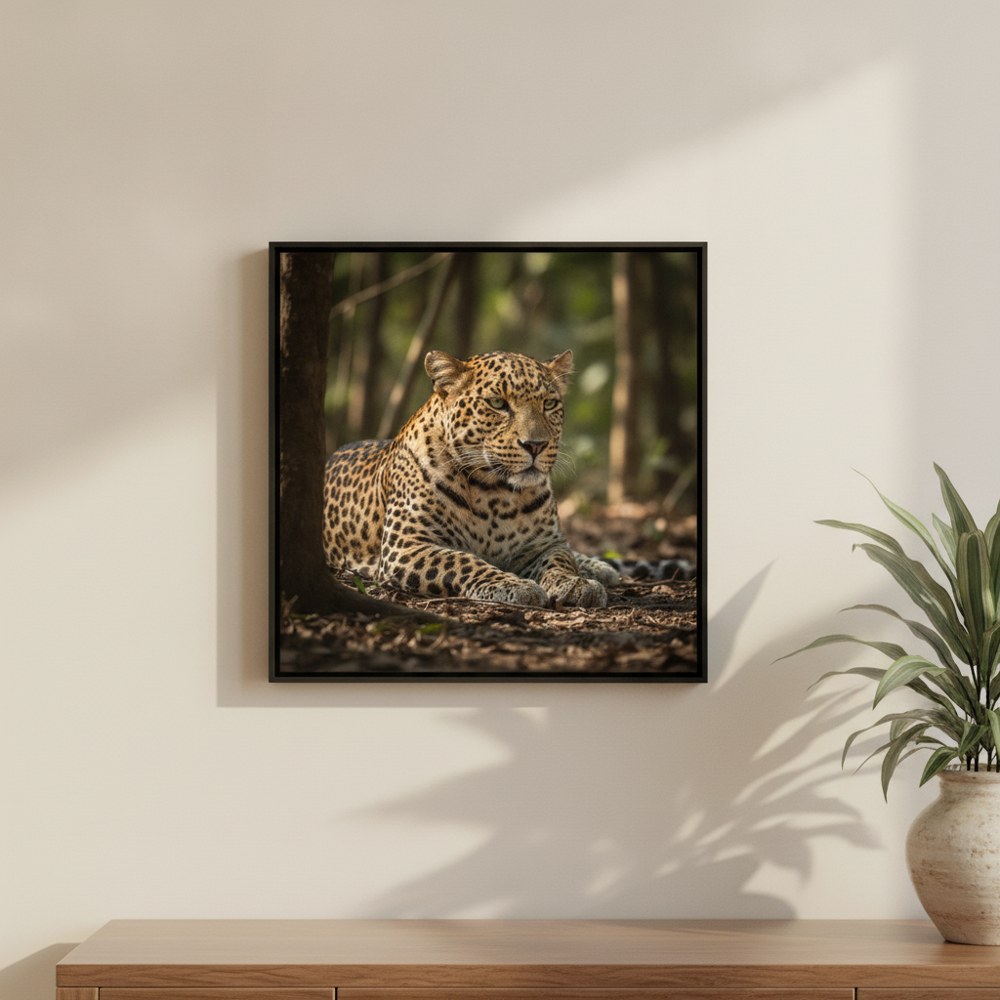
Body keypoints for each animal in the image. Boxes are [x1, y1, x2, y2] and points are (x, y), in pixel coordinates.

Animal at [322, 348, 620, 608]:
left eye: (549, 404)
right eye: (498, 403)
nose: (535, 445)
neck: (495, 492)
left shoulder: (544, 544)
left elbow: (560, 560)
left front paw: (576, 583)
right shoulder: (407, 545)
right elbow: (462, 561)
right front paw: (514, 585)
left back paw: (599, 567)